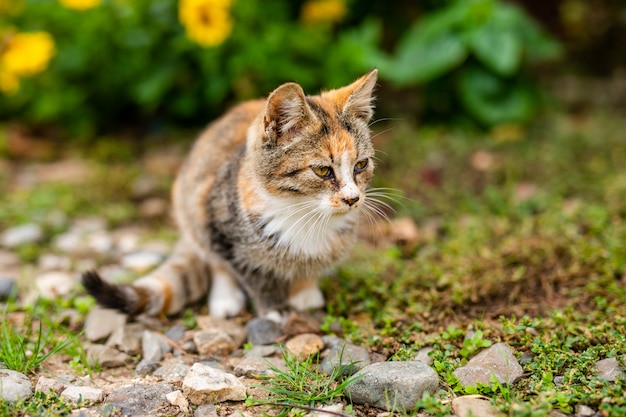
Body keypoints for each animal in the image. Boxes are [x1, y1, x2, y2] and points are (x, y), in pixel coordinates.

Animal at [81, 70, 378, 320]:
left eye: (361, 165)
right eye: (322, 170)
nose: (353, 198)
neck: (303, 212)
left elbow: (309, 267)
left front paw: (305, 292)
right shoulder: (221, 229)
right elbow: (249, 274)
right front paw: (273, 309)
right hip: (192, 207)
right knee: (215, 262)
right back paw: (226, 299)